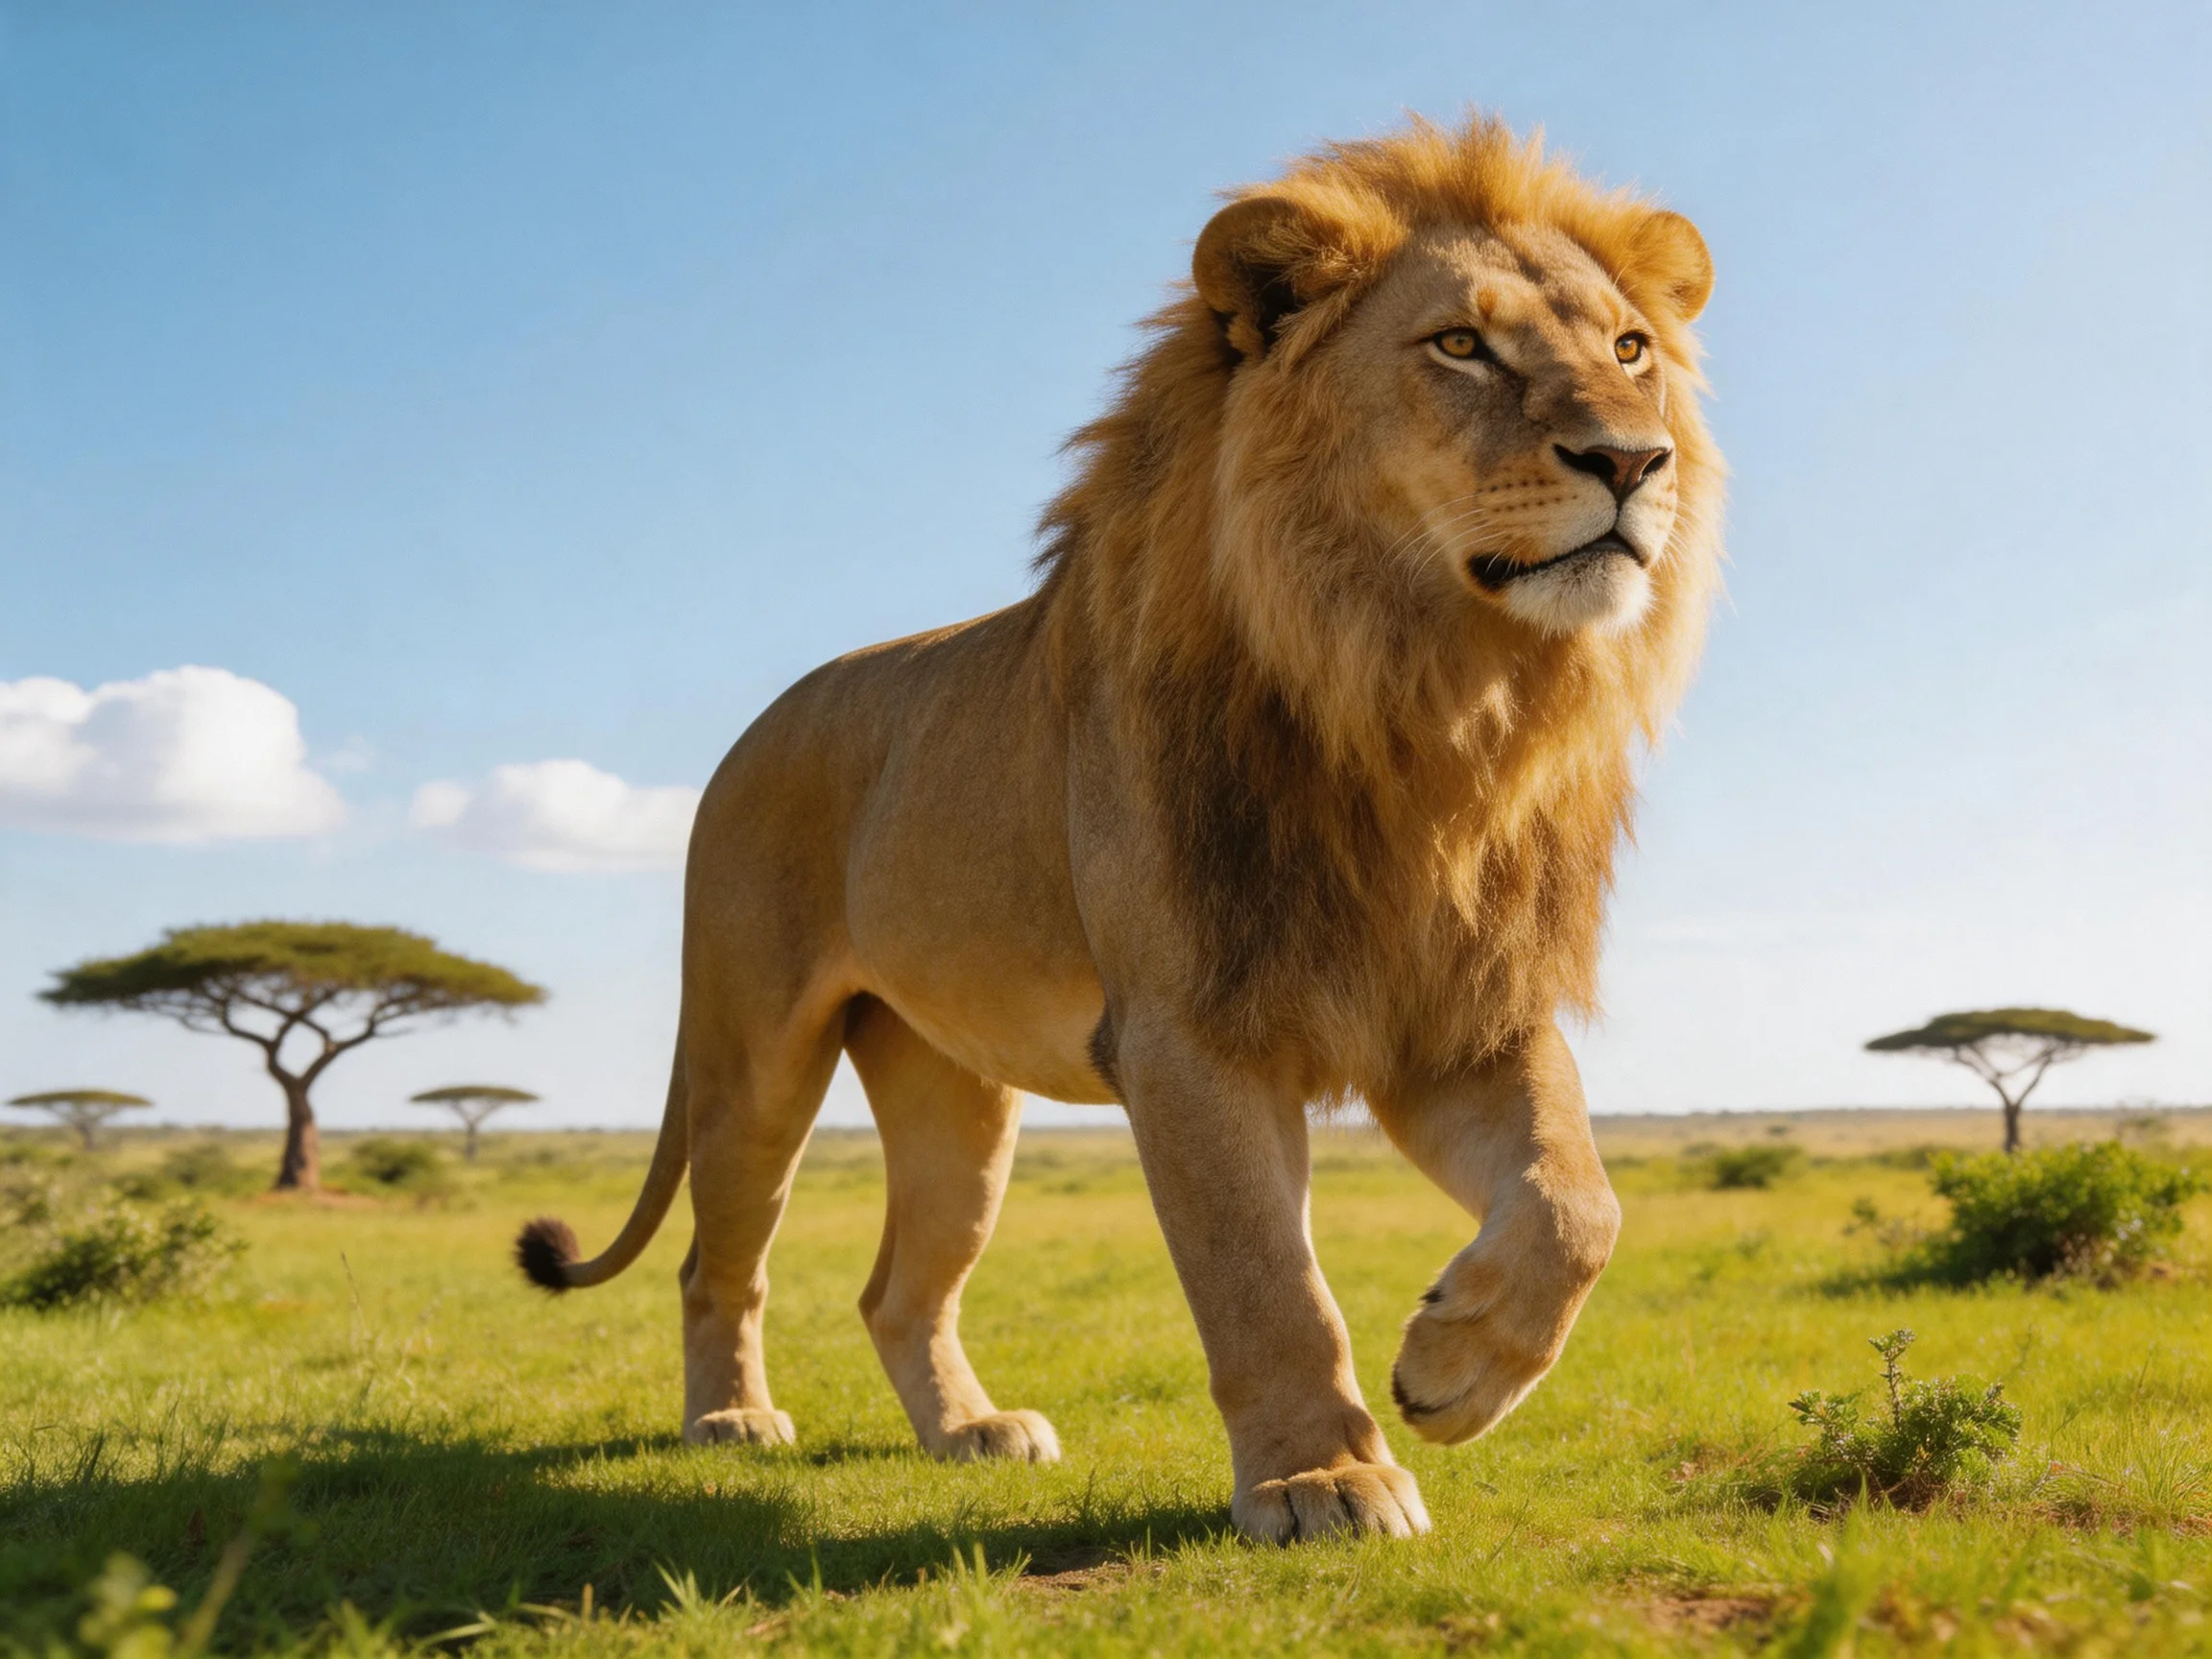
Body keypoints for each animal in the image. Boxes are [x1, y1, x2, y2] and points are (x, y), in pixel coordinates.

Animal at [516, 113, 1722, 1544]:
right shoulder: (1188, 1028)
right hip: (753, 1053)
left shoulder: (1457, 1008)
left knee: (897, 1286)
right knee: (719, 1259)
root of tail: (756, 727)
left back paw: (970, 1432)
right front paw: (1323, 1478)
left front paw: (1454, 1369)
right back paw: (731, 1421)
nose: (1632, 462)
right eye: (1459, 346)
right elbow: (1264, 1275)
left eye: (1630, 351)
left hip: (954, 1097)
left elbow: (1576, 1199)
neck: (1420, 695)